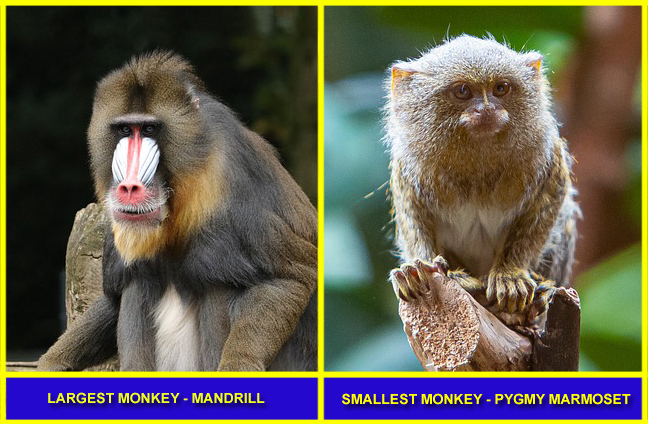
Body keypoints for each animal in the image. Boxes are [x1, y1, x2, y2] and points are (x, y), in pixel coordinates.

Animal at [37, 51, 317, 371]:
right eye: (125, 130)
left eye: (149, 129)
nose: (129, 187)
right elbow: (115, 297)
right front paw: (52, 362)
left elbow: (286, 279)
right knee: (139, 281)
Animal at [385, 35, 580, 331]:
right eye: (463, 91)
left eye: (501, 88)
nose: (486, 109)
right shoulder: (407, 171)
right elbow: (413, 220)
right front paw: (417, 271)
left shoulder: (549, 158)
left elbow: (547, 207)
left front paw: (510, 276)